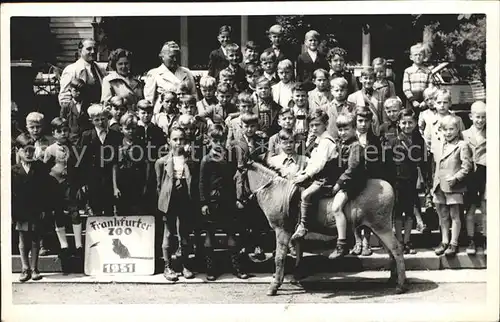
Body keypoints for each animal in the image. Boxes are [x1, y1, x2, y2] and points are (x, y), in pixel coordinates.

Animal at [244, 161, 408, 296]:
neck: (275, 191)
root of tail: (389, 186)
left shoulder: (282, 231)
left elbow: (280, 257)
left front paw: (274, 286)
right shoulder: (293, 233)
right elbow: (298, 252)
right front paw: (296, 275)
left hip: (381, 227)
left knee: (397, 249)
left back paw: (400, 286)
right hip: (377, 228)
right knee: (391, 252)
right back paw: (392, 280)